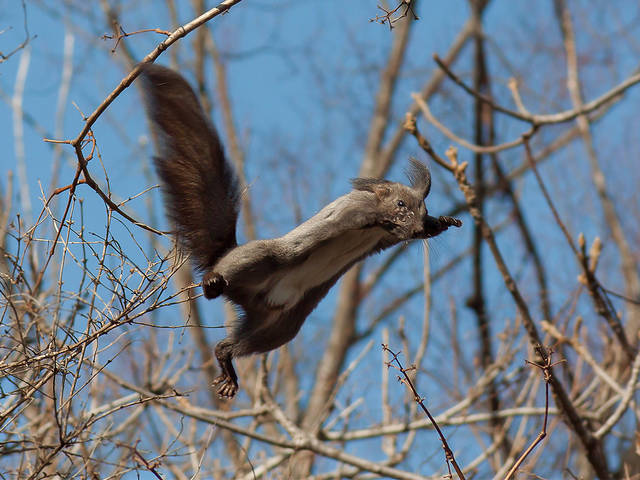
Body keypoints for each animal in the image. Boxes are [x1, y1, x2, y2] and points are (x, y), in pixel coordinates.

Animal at [139, 63, 462, 398]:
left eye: (423, 209)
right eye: (400, 203)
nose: (418, 225)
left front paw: (443, 222)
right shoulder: (353, 210)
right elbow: (356, 218)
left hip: (278, 328)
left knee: (233, 345)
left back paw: (227, 366)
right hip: (265, 259)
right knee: (227, 277)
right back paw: (212, 283)